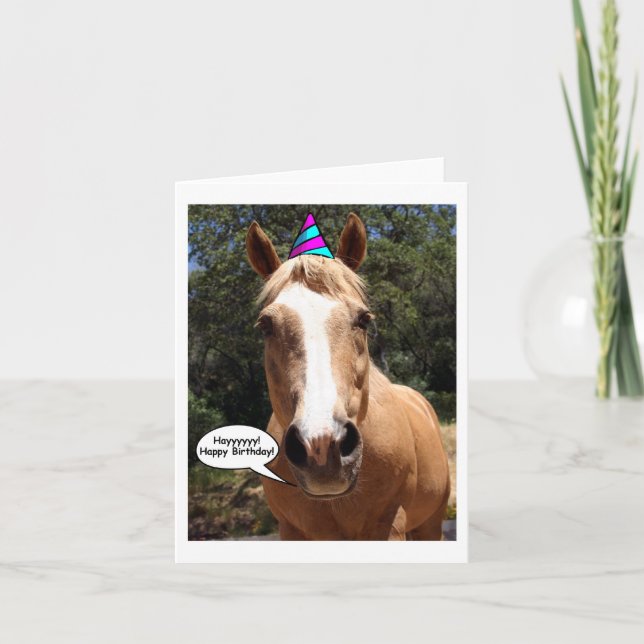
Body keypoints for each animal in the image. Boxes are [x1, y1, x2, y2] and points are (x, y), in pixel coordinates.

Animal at [245, 213, 450, 540]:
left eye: (364, 319)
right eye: (265, 325)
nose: (321, 446)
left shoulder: (389, 525)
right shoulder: (291, 529)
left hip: (431, 523)